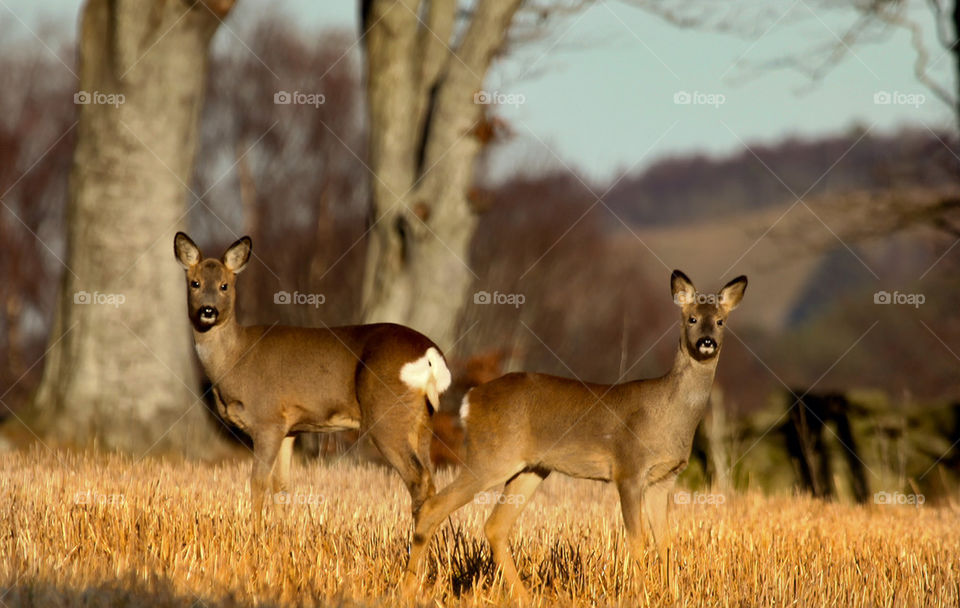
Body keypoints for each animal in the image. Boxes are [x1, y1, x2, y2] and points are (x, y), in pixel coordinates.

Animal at [173, 232, 451, 529]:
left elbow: (258, 481)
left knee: (419, 479)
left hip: (387, 416)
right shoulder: (288, 428)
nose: (208, 310)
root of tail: (430, 353)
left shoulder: (267, 419)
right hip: (422, 419)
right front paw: (279, 532)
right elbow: (281, 486)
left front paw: (254, 531)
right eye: (195, 283)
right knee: (432, 479)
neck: (235, 358)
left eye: (224, 285)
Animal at [401, 270, 747, 600]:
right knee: (433, 508)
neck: (669, 412)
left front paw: (673, 595)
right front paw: (641, 595)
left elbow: (666, 541)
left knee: (495, 526)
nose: (707, 341)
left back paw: (525, 596)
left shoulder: (663, 479)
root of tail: (470, 399)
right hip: (490, 456)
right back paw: (409, 588)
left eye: (720, 321)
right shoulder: (629, 469)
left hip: (531, 468)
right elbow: (637, 539)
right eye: (692, 318)